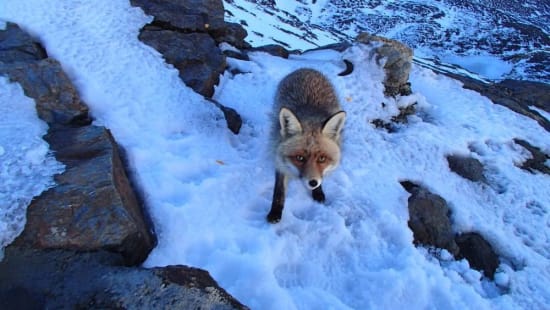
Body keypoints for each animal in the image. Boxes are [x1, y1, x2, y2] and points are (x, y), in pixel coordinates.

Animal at [266, 68, 344, 223]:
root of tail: (306, 69)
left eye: (322, 159)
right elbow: (279, 191)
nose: (313, 183)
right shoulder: (278, 157)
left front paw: (318, 192)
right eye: (300, 158)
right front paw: (275, 211)